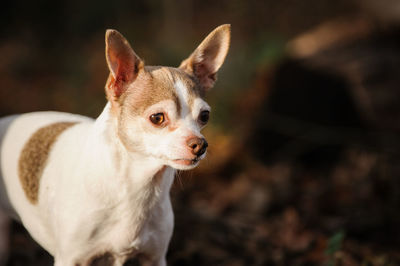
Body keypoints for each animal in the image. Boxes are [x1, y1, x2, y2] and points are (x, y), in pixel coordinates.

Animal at [0, 23, 231, 264]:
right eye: (157, 118)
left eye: (205, 116)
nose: (200, 144)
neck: (139, 187)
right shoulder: (70, 258)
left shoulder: (155, 257)